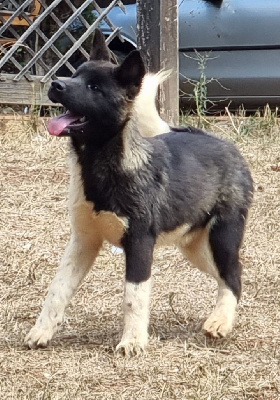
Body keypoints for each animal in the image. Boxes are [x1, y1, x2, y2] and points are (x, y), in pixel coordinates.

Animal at [25, 29, 254, 354]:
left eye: (94, 87)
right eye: (76, 74)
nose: (56, 84)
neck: (103, 167)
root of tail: (223, 143)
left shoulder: (139, 244)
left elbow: (133, 296)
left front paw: (132, 341)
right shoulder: (83, 241)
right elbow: (57, 289)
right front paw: (41, 331)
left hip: (222, 236)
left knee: (232, 276)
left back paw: (220, 322)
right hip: (195, 247)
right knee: (229, 276)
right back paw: (222, 317)